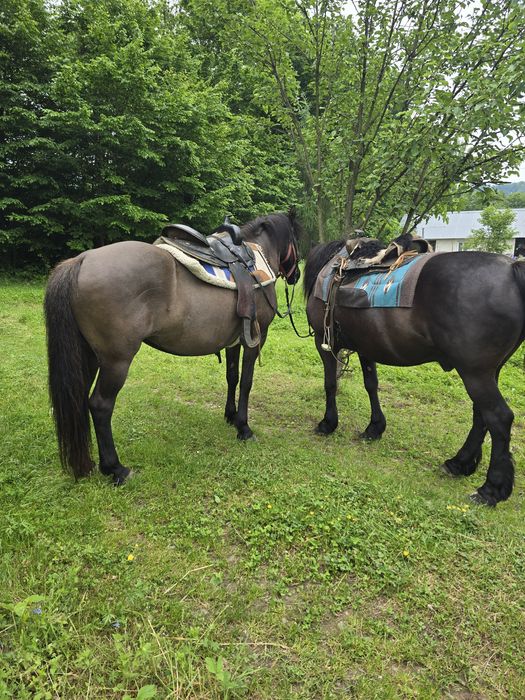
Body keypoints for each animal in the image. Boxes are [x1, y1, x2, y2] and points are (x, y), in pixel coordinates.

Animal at [44, 211, 301, 485]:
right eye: (297, 238)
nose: (296, 274)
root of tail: (82, 260)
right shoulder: (256, 338)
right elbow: (246, 382)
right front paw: (244, 427)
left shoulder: (234, 341)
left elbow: (232, 377)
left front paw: (230, 416)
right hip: (116, 361)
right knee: (100, 406)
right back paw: (116, 468)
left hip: (88, 356)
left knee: (80, 400)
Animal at [304, 238, 525, 506]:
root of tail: (512, 269)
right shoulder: (366, 346)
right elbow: (371, 384)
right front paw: (374, 428)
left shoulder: (324, 342)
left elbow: (330, 384)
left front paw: (328, 423)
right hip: (488, 373)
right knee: (481, 416)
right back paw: (459, 463)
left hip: (475, 374)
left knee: (499, 418)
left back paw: (491, 488)